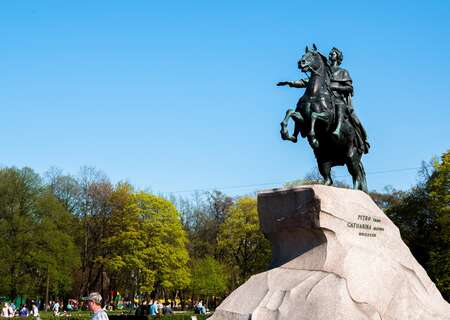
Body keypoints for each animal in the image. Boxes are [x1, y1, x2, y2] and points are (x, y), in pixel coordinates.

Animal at [278, 43, 370, 191]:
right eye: (303, 55)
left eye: (313, 55)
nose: (301, 62)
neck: (314, 93)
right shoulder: (302, 118)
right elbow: (290, 112)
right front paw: (286, 134)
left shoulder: (326, 121)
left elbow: (314, 116)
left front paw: (313, 138)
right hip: (323, 160)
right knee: (329, 179)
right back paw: (322, 185)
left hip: (351, 157)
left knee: (356, 176)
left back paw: (354, 190)